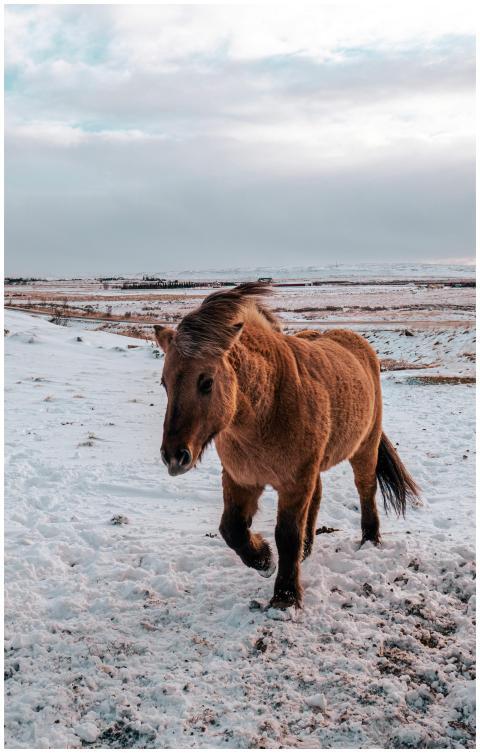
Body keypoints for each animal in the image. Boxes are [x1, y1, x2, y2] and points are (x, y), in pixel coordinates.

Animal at [154, 282, 419, 609]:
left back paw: (369, 540)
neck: (266, 410)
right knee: (317, 497)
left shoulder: (294, 482)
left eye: (206, 382)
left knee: (365, 489)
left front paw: (285, 596)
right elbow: (231, 529)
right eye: (165, 383)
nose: (174, 456)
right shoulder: (241, 479)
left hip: (364, 448)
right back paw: (307, 551)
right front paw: (264, 559)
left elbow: (287, 535)